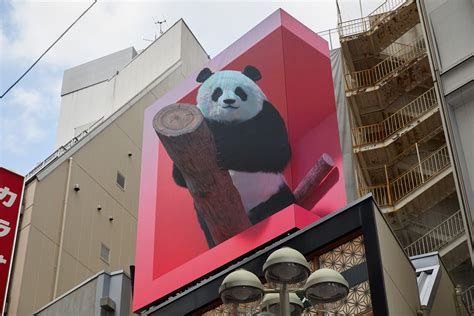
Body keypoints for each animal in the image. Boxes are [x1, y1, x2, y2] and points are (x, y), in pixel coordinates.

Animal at [172, 65, 294, 247]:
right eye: (217, 92)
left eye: (239, 91)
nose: (229, 101)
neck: (229, 122)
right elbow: (179, 177)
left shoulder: (266, 116)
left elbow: (277, 152)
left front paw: (225, 152)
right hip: (205, 214)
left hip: (272, 193)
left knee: (281, 204)